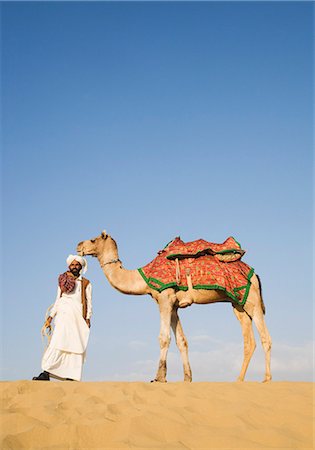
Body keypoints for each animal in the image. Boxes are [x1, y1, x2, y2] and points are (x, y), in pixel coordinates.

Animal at [76, 232, 272, 384]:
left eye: (93, 239)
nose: (78, 246)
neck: (144, 277)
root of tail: (255, 274)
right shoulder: (174, 306)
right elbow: (182, 341)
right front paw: (187, 378)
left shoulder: (165, 298)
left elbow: (164, 338)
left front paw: (159, 377)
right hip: (238, 304)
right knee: (249, 341)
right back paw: (238, 379)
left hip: (252, 301)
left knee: (265, 337)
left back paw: (267, 378)